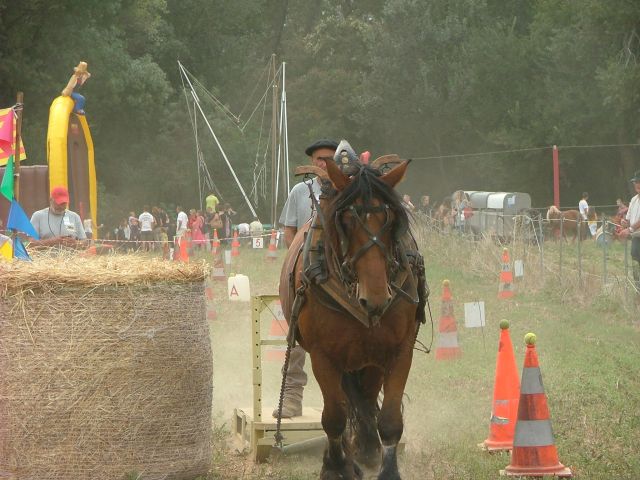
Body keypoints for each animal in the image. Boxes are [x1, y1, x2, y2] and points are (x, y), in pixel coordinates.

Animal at [280, 159, 424, 480]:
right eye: (345, 220)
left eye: (389, 218)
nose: (376, 297)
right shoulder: (324, 356)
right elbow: (335, 416)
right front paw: (336, 466)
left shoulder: (399, 351)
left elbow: (389, 420)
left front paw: (383, 466)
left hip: (369, 360)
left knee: (367, 401)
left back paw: (367, 449)